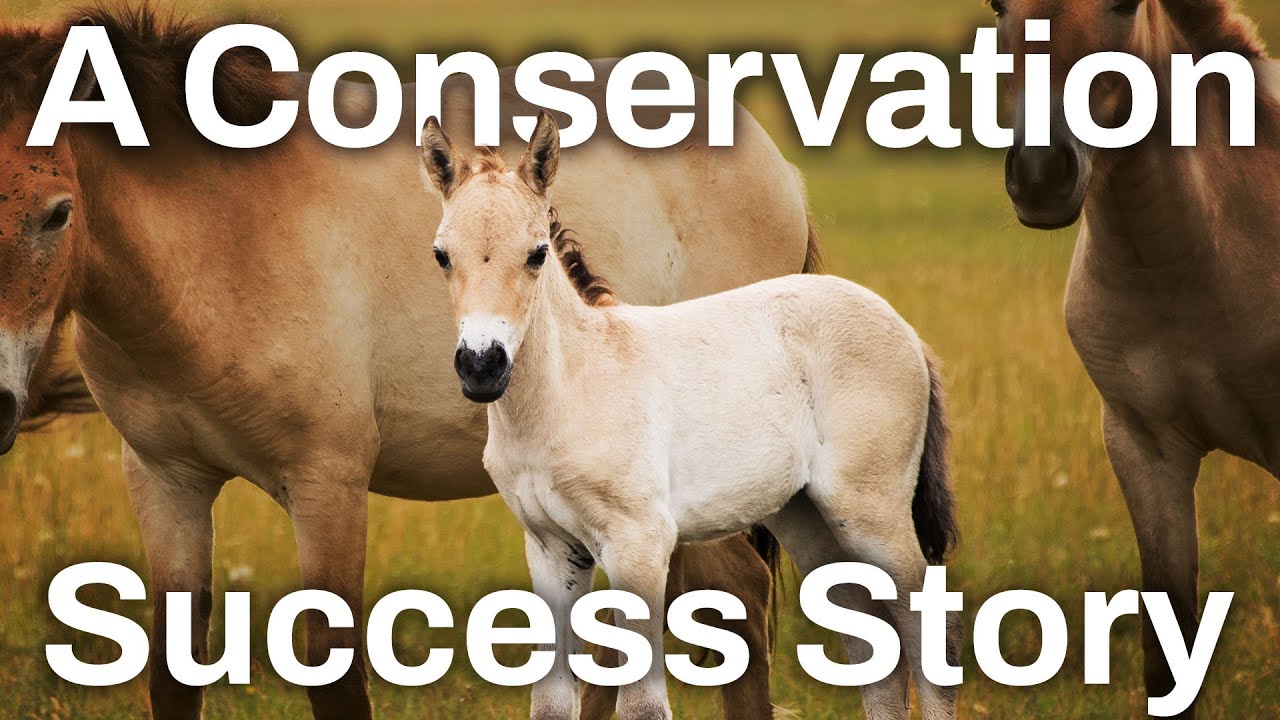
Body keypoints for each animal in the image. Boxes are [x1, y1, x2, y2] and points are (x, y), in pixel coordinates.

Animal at [0, 6, 821, 719]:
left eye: (59, 213)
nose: (2, 409)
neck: (223, 243)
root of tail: (775, 171)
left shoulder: (327, 483)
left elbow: (334, 675)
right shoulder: (166, 479)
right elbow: (173, 674)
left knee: (738, 599)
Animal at [420, 110, 961, 720]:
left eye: (536, 253)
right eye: (441, 254)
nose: (481, 367)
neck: (571, 390)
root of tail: (906, 331)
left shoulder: (639, 543)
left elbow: (642, 704)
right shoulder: (552, 549)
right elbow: (551, 702)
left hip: (872, 508)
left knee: (928, 636)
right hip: (810, 518)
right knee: (870, 643)